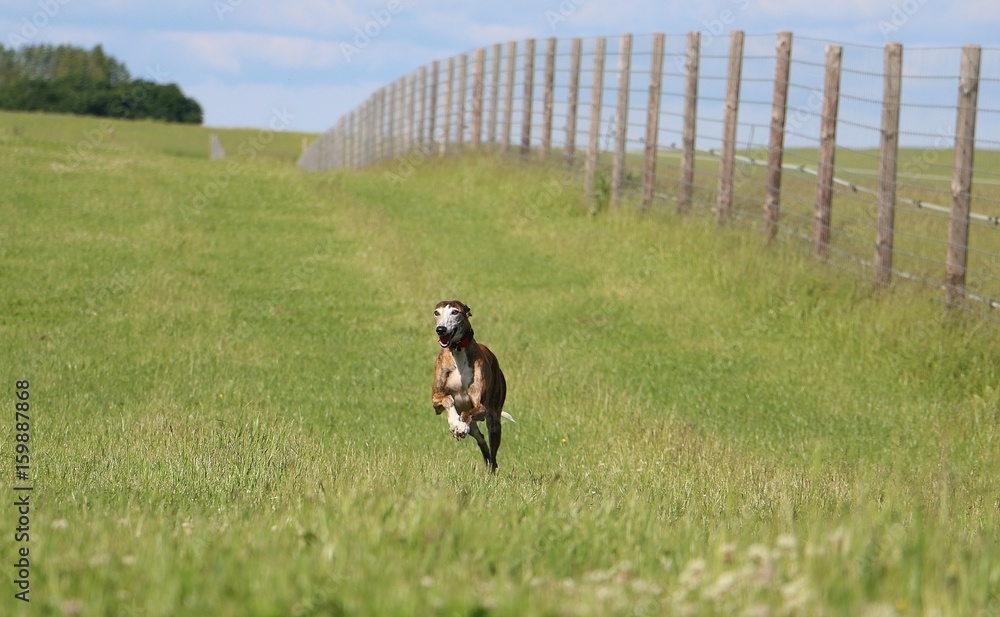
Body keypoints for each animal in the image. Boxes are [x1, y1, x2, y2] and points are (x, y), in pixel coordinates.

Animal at [430, 300, 512, 472]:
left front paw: (459, 426)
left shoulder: (481, 407)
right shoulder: (435, 401)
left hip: (494, 419)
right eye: (436, 313)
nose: (440, 329)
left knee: (493, 456)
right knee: (480, 438)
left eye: (455, 312)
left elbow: (467, 413)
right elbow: (448, 399)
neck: (457, 351)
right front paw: (454, 423)